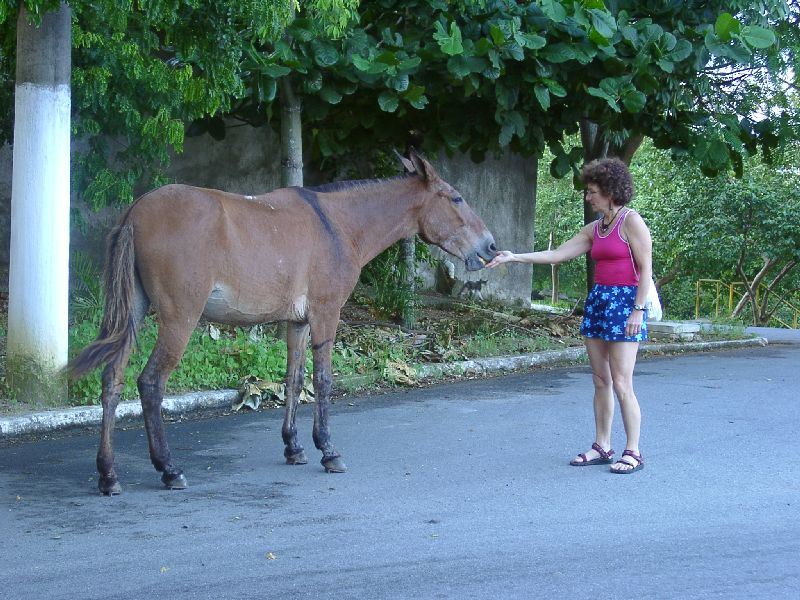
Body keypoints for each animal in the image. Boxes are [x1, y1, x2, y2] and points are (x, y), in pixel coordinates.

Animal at [68, 149, 497, 495]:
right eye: (456, 198)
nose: (491, 247)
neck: (338, 225)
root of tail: (136, 212)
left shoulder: (298, 322)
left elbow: (294, 378)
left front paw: (294, 447)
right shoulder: (326, 314)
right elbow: (323, 380)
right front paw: (328, 450)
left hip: (134, 314)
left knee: (112, 382)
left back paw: (108, 475)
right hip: (179, 319)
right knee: (150, 383)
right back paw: (169, 468)